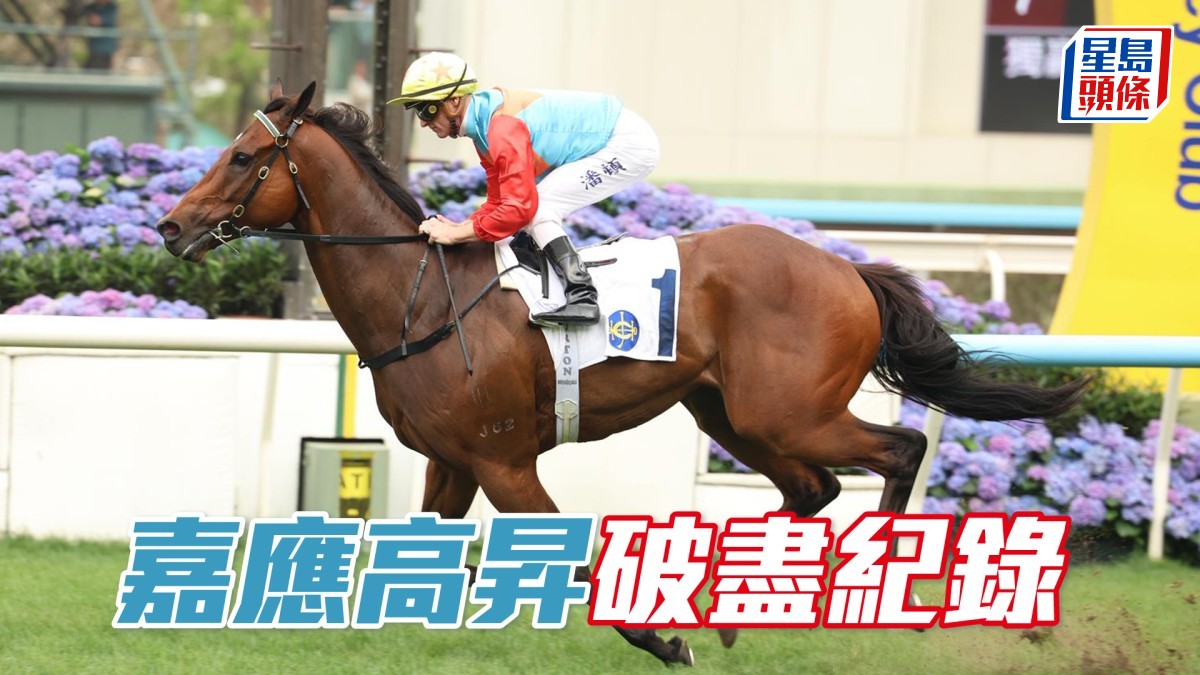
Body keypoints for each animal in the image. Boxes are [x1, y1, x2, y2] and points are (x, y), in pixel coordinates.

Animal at [156, 82, 1087, 665]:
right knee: (814, 488)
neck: (419, 296)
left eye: (242, 156)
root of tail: (847, 268)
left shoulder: (503, 460)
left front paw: (662, 638)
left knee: (896, 452)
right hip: (729, 413)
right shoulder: (453, 461)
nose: (170, 225)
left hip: (789, 411)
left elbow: (571, 560)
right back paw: (730, 604)